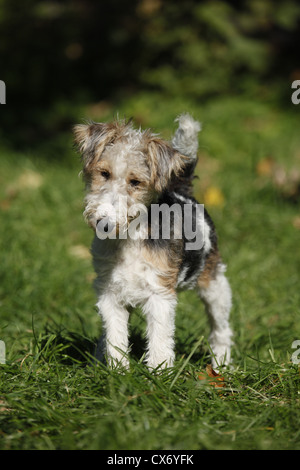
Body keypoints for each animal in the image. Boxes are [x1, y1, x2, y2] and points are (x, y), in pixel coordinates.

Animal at [74, 113, 233, 370]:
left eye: (135, 182)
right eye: (104, 173)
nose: (104, 223)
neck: (129, 238)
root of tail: (182, 191)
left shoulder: (160, 294)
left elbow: (159, 340)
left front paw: (160, 372)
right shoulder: (110, 295)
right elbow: (115, 338)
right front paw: (117, 372)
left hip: (215, 284)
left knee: (221, 330)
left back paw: (222, 366)